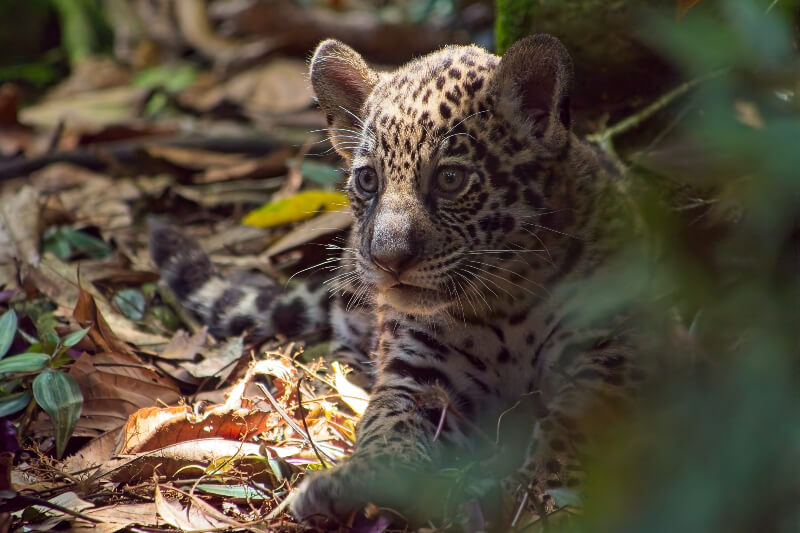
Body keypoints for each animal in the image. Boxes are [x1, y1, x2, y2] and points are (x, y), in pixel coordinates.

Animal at [149, 34, 651, 528]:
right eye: (369, 180)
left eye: (450, 178)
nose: (387, 259)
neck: (501, 302)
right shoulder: (418, 377)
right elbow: (387, 427)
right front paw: (350, 482)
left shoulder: (609, 349)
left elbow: (573, 427)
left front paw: (540, 495)